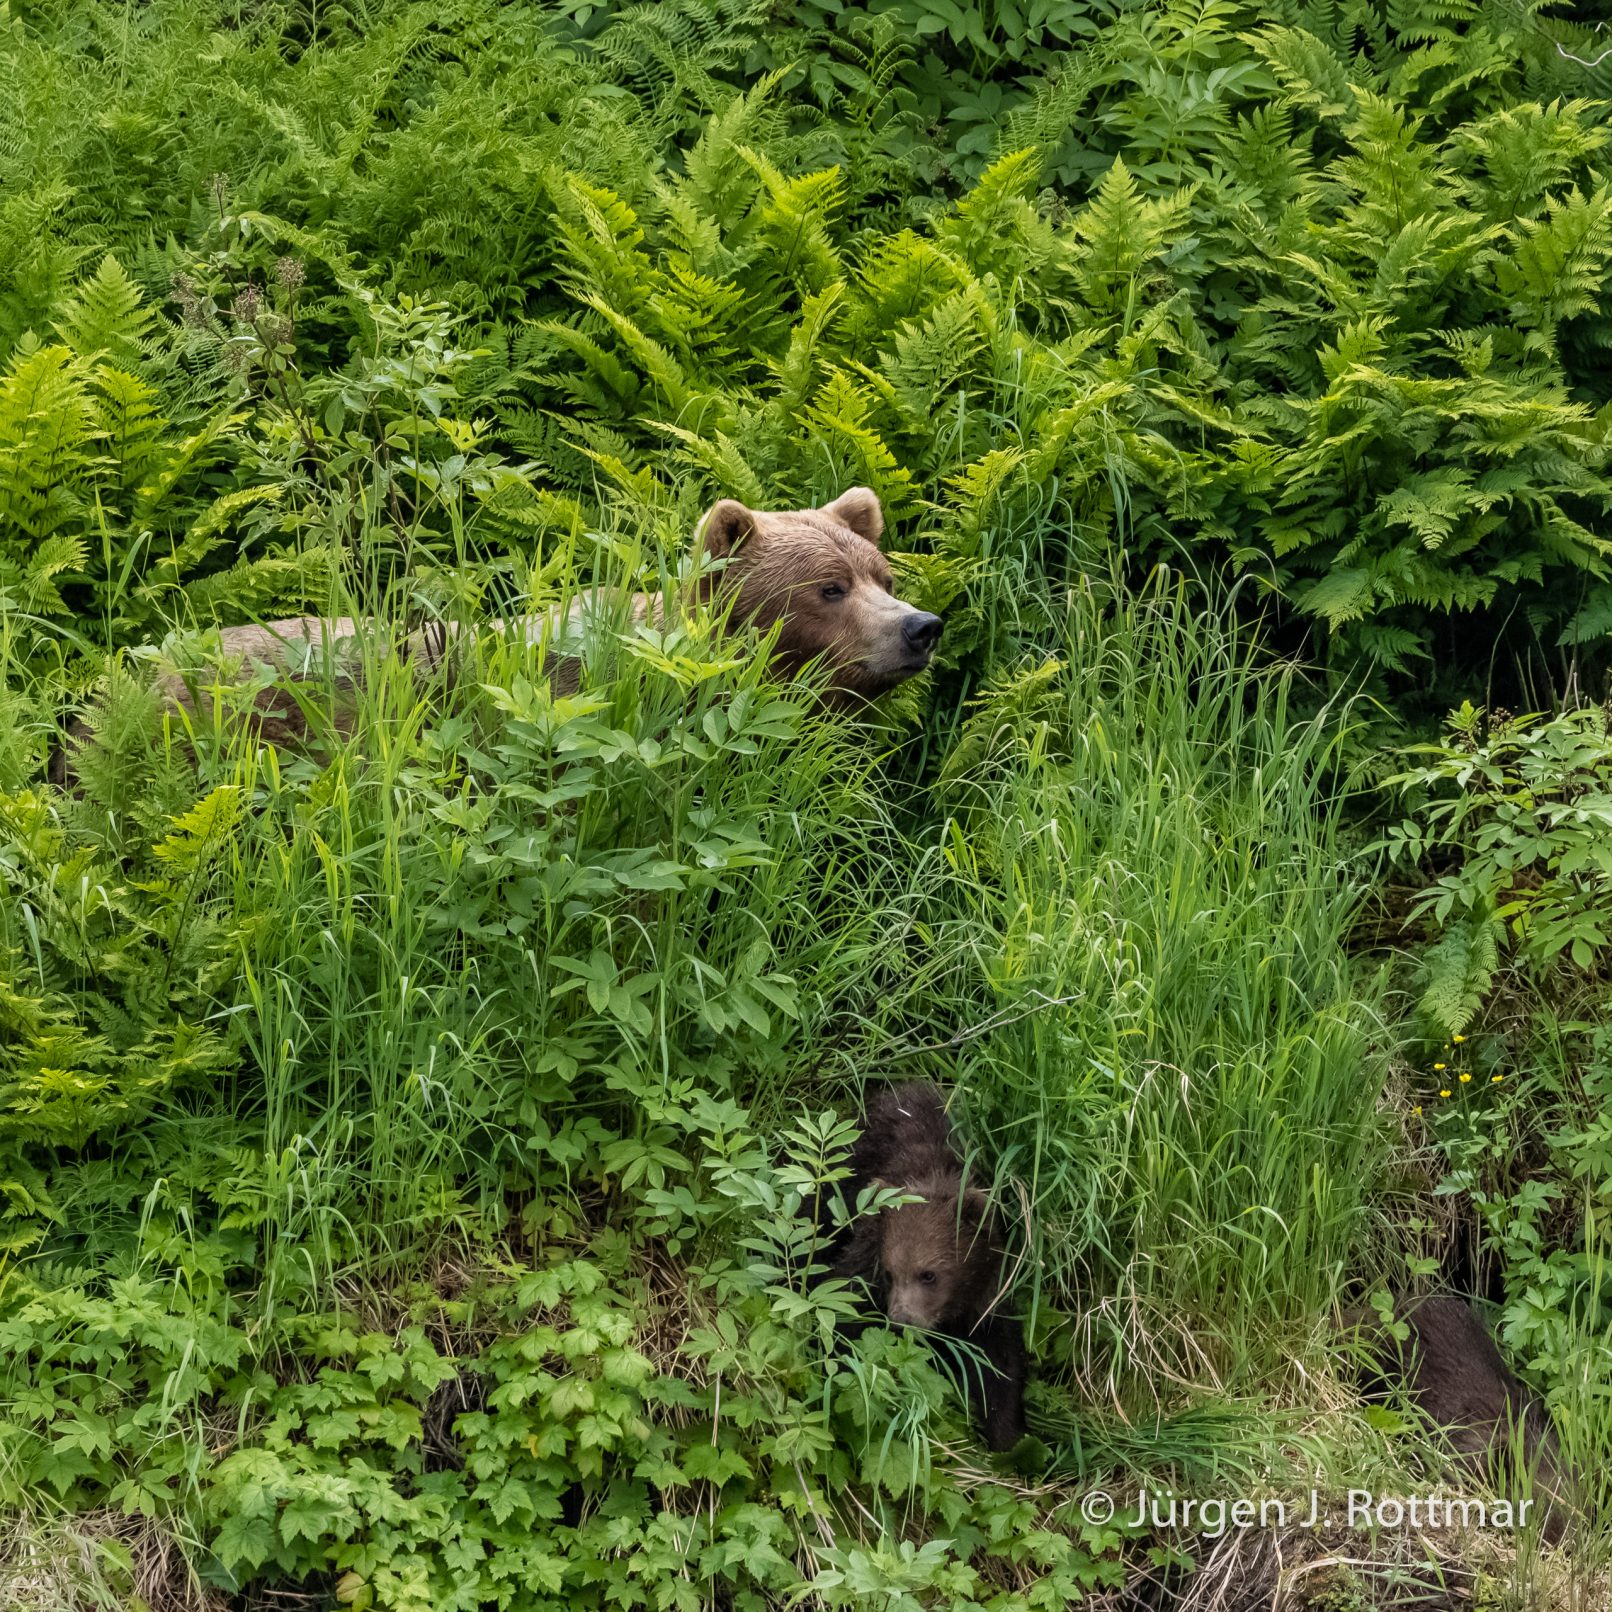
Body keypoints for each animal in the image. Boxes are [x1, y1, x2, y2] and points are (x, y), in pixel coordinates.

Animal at [825, 1081, 1027, 1451]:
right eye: (890, 1273)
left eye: (929, 1274)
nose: (903, 1319)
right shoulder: (868, 1248)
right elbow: (846, 1308)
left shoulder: (987, 1292)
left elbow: (999, 1362)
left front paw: (1009, 1436)